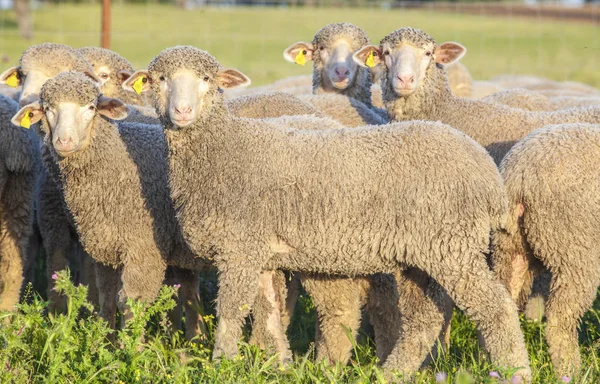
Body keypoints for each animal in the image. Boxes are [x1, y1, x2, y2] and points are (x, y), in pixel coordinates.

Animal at [125, 46, 528, 380]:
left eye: (206, 79)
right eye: (160, 79)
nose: (182, 112)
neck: (223, 149)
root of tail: (486, 170)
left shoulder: (239, 249)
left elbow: (231, 311)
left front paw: (222, 364)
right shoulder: (260, 252)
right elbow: (270, 314)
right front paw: (281, 366)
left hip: (451, 245)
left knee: (496, 308)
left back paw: (515, 371)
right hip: (424, 252)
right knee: (424, 318)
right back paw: (390, 373)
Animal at [490, 124, 600, 378]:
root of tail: (519, 173)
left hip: (511, 246)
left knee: (506, 301)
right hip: (576, 250)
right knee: (559, 320)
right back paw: (573, 373)